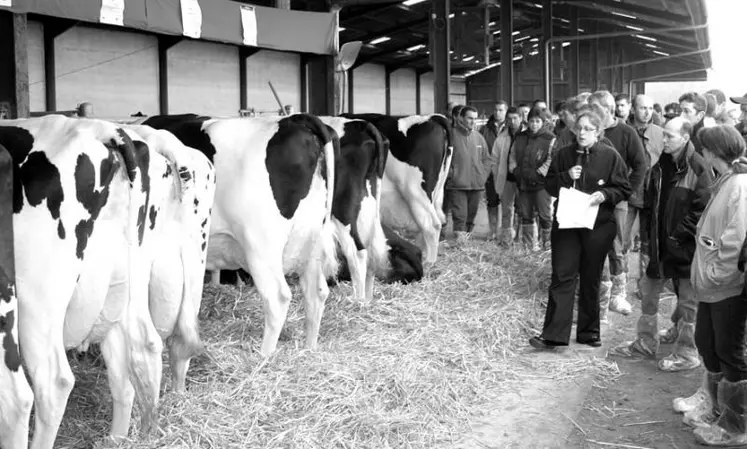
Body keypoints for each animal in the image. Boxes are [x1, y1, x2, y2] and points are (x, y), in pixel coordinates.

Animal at [1, 114, 175, 444]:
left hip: (35, 301)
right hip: (124, 282)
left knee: (42, 387)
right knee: (136, 351)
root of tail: (104, 130)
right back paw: (122, 439)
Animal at [143, 112, 336, 354]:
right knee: (316, 292)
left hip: (261, 244)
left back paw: (264, 355)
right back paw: (309, 349)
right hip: (311, 242)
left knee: (278, 297)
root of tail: (295, 119)